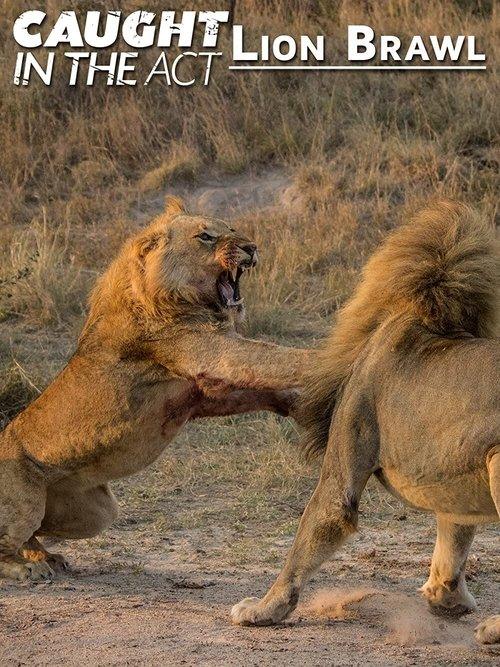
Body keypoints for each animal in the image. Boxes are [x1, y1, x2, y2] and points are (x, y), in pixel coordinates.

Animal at [0, 196, 310, 582]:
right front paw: (337, 356)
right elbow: (277, 357)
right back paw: (26, 568)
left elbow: (257, 386)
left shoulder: (198, 392)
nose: (251, 248)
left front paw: (297, 403)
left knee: (34, 533)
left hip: (97, 511)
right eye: (206, 236)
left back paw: (46, 557)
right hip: (25, 498)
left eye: (232, 228)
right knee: (7, 541)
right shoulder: (210, 351)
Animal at [231, 201, 500, 645]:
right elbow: (454, 536)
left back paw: (493, 629)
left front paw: (263, 608)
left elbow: (312, 529)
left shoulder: (347, 449)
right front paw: (445, 597)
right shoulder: (459, 469)